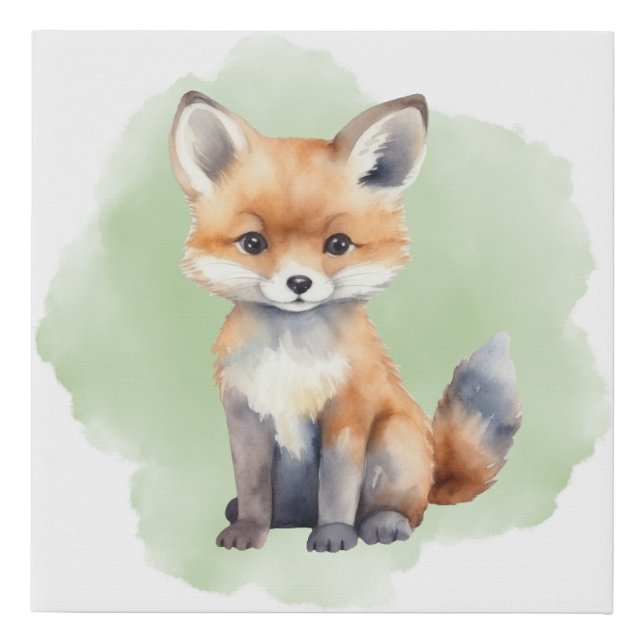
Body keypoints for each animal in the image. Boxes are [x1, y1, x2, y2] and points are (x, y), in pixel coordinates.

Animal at [168, 90, 521, 552]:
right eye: (253, 243)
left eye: (338, 245)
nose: (299, 283)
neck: (290, 355)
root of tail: (434, 475)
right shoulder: (246, 415)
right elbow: (252, 487)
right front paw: (248, 528)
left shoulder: (347, 413)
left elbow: (337, 487)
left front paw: (335, 534)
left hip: (394, 440)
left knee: (407, 511)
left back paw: (383, 524)